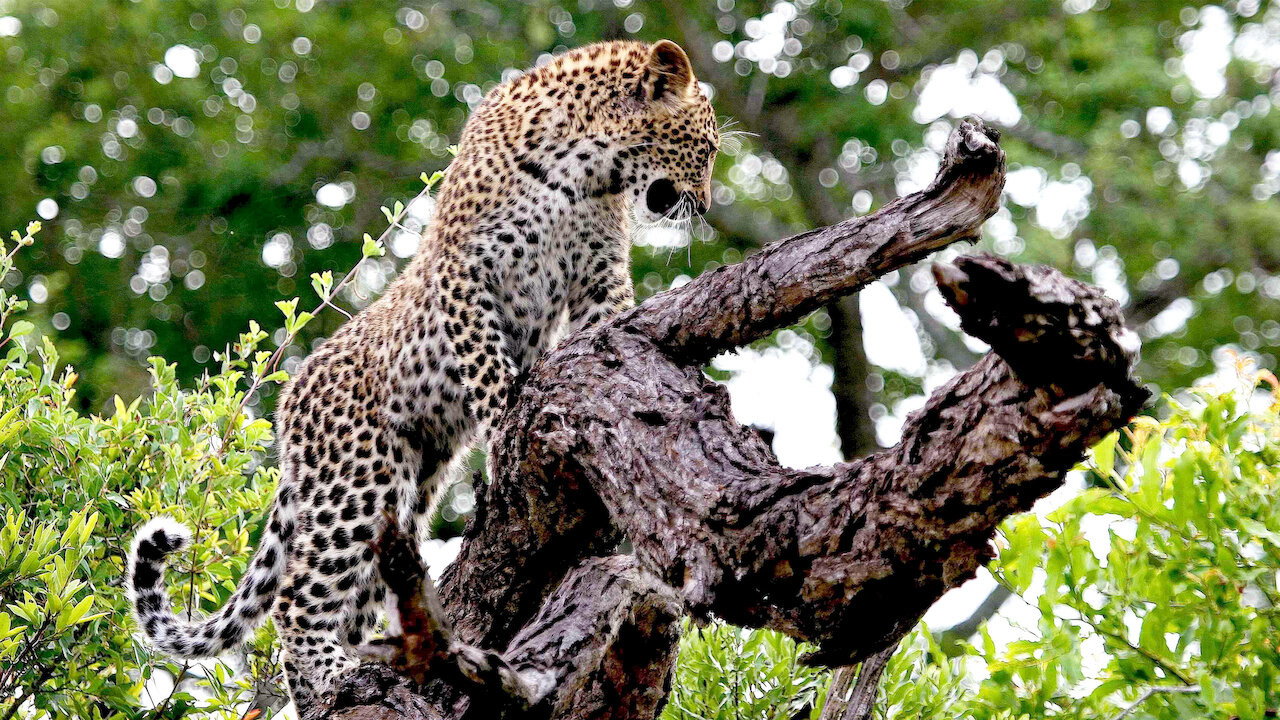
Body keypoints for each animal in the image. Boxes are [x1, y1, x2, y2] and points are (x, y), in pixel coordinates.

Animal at [127, 39, 719, 715]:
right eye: (706, 148)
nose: (705, 206)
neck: (588, 168)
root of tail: (290, 408)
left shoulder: (599, 275)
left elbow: (610, 324)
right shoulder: (464, 275)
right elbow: (486, 362)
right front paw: (507, 421)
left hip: (412, 482)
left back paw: (369, 668)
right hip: (357, 479)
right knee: (297, 598)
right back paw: (331, 678)